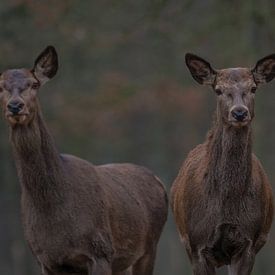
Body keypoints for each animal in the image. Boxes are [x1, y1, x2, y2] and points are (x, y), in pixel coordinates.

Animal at [0, 46, 168, 274]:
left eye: (34, 84)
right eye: (1, 86)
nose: (15, 106)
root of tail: (159, 181)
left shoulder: (100, 250)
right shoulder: (45, 259)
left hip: (149, 247)